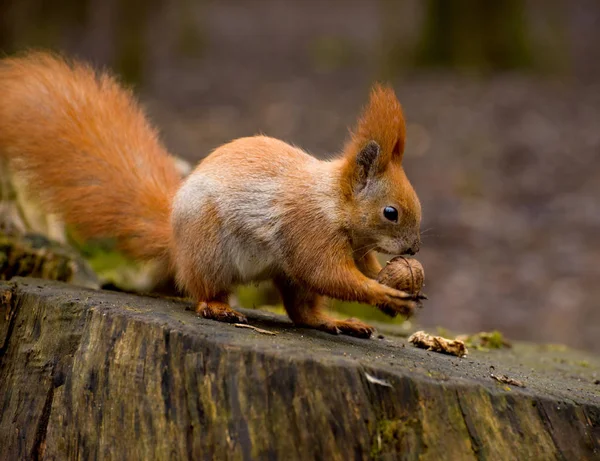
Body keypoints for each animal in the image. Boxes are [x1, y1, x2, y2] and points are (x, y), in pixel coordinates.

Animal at [0, 51, 422, 338]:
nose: (415, 248)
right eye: (390, 212)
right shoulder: (309, 231)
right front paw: (385, 292)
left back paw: (336, 321)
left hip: (279, 273)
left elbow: (359, 268)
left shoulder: (356, 245)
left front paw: (394, 285)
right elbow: (329, 274)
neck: (333, 202)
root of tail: (174, 238)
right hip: (209, 252)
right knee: (204, 291)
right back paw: (219, 308)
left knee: (303, 311)